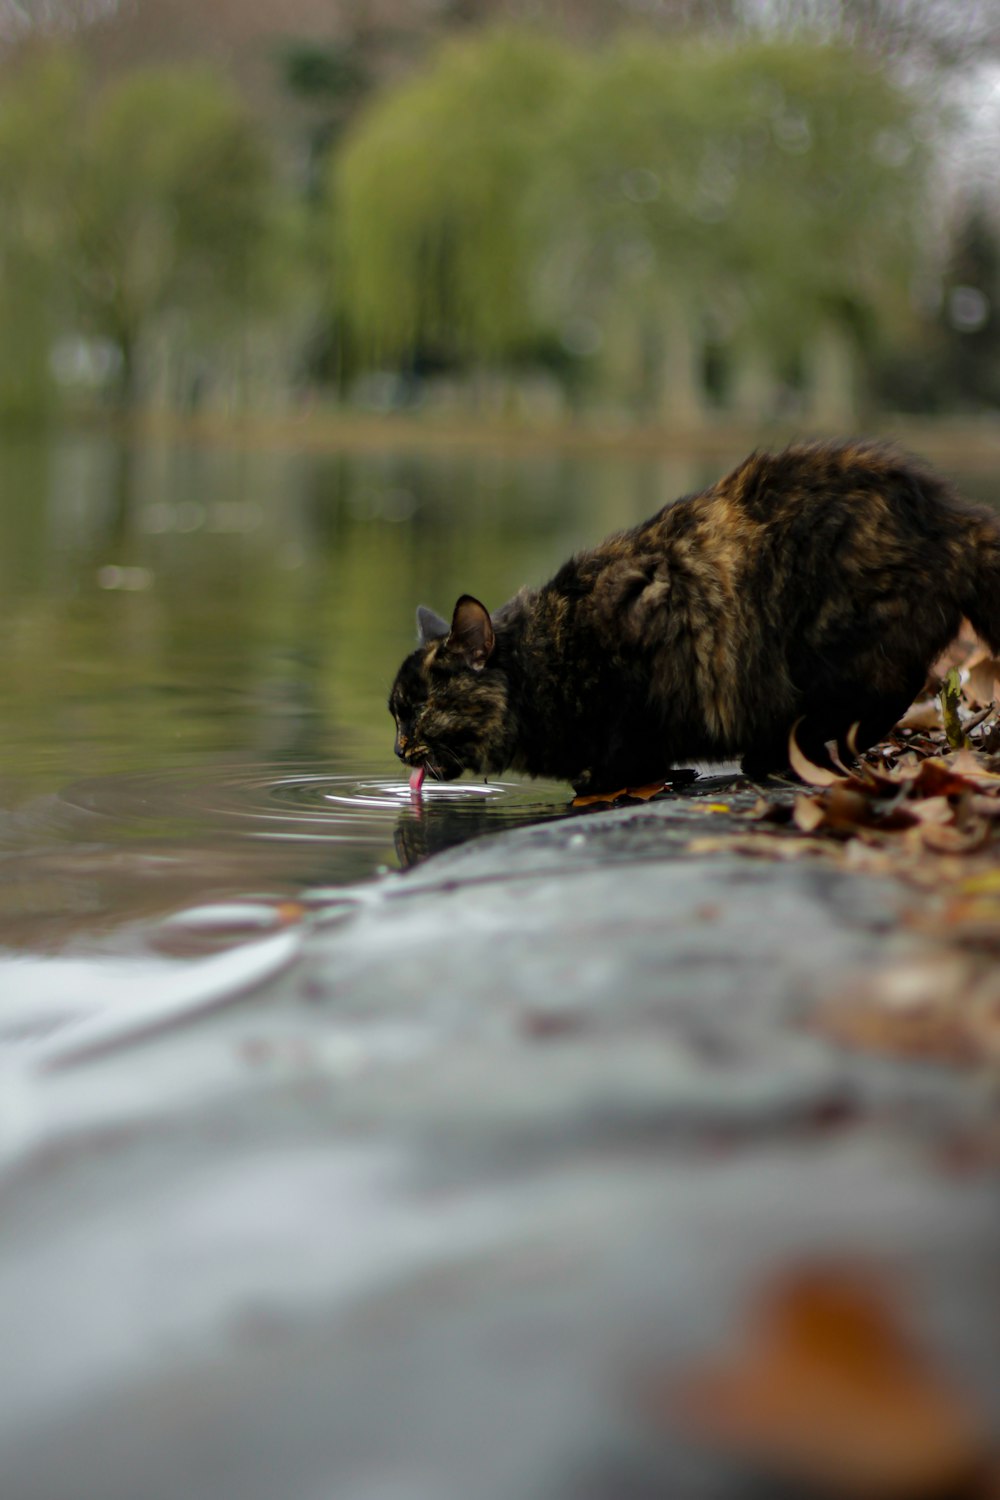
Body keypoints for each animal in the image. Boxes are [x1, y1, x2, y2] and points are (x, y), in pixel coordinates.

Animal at [389, 438, 1000, 798]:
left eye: (417, 710)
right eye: (396, 714)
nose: (397, 749)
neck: (547, 657)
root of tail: (957, 519)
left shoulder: (640, 658)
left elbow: (623, 748)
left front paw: (609, 777)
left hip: (835, 643)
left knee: (881, 700)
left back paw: (784, 755)